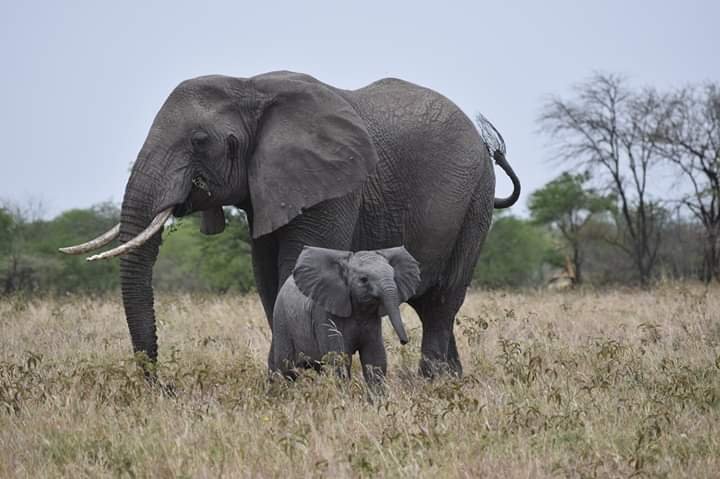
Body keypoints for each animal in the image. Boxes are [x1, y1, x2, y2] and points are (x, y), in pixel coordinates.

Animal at [270, 246, 420, 388]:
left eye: (394, 276)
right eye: (363, 279)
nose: (404, 341)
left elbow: (375, 359)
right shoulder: (325, 315)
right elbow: (339, 359)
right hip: (281, 321)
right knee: (287, 369)